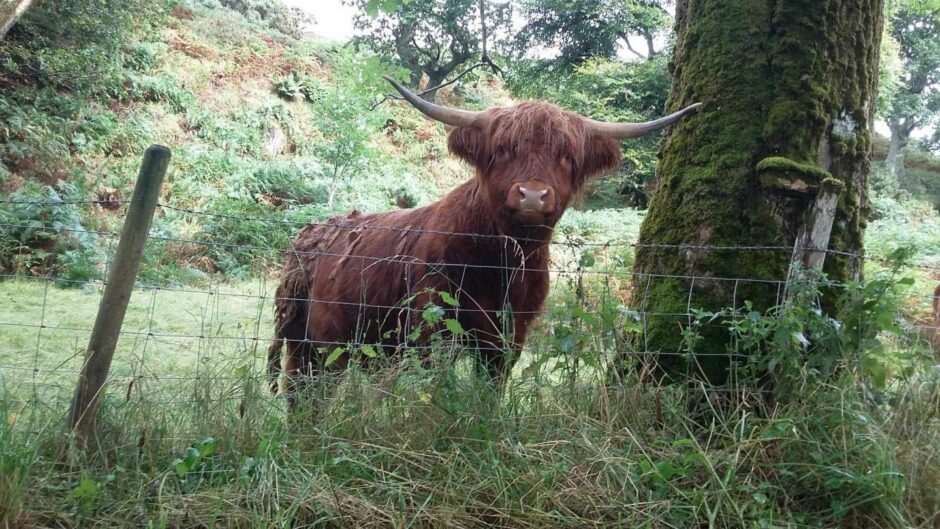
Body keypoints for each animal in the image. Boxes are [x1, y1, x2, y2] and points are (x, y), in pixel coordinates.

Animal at [268, 76, 700, 406]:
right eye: (504, 150)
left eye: (565, 157)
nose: (532, 195)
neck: (500, 266)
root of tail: (309, 233)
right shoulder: (430, 328)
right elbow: (430, 392)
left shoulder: (509, 338)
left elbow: (490, 393)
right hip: (315, 340)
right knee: (305, 390)